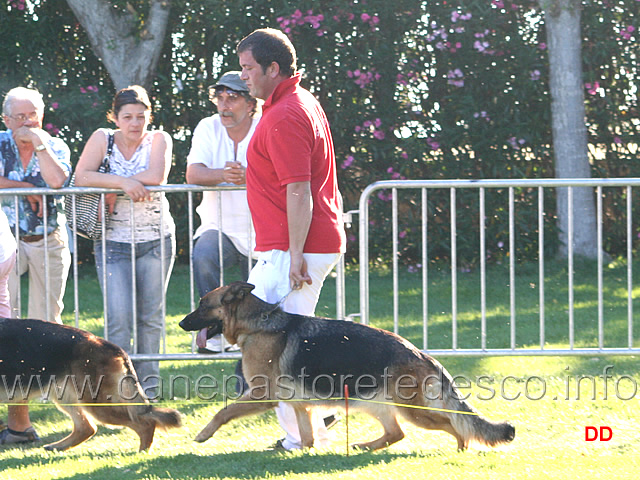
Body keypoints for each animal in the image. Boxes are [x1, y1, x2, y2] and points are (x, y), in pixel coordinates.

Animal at [0, 318, 180, 450]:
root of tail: (112, 346)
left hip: (97, 405)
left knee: (144, 422)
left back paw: (142, 452)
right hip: (68, 397)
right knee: (87, 428)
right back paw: (58, 446)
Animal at [180, 282, 516, 450]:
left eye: (202, 304)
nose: (181, 323)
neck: (258, 325)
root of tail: (422, 354)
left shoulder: (263, 395)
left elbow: (223, 411)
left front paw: (203, 434)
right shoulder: (300, 405)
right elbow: (307, 437)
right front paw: (303, 454)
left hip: (412, 411)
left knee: (452, 424)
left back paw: (461, 447)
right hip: (374, 404)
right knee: (396, 434)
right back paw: (364, 446)